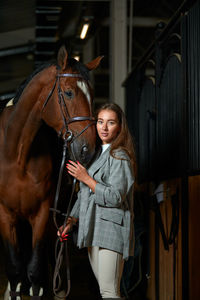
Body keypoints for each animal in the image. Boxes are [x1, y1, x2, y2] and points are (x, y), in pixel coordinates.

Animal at [0, 45, 103, 300]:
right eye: (68, 93)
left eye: (92, 94)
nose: (89, 149)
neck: (16, 152)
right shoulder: (5, 214)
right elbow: (15, 271)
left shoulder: (42, 214)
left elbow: (35, 272)